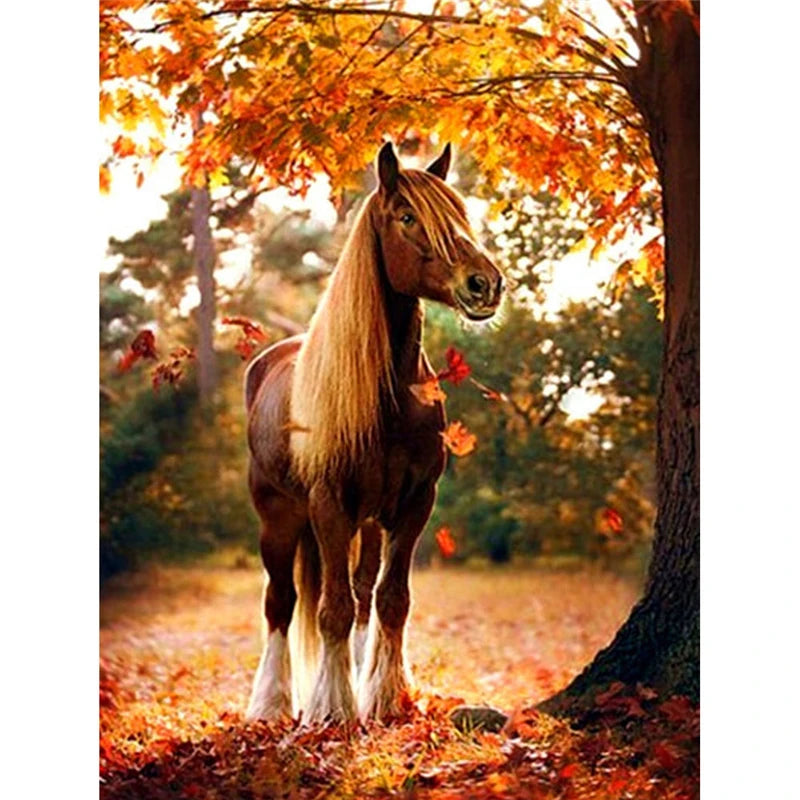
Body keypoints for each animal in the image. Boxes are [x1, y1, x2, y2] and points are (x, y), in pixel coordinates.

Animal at [244, 141, 504, 724]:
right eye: (407, 216)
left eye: (460, 213)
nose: (485, 284)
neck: (390, 399)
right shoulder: (329, 504)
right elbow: (332, 608)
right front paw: (332, 709)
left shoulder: (413, 504)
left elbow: (390, 599)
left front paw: (383, 697)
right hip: (279, 517)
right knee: (280, 603)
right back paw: (270, 704)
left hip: (365, 522)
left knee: (363, 594)